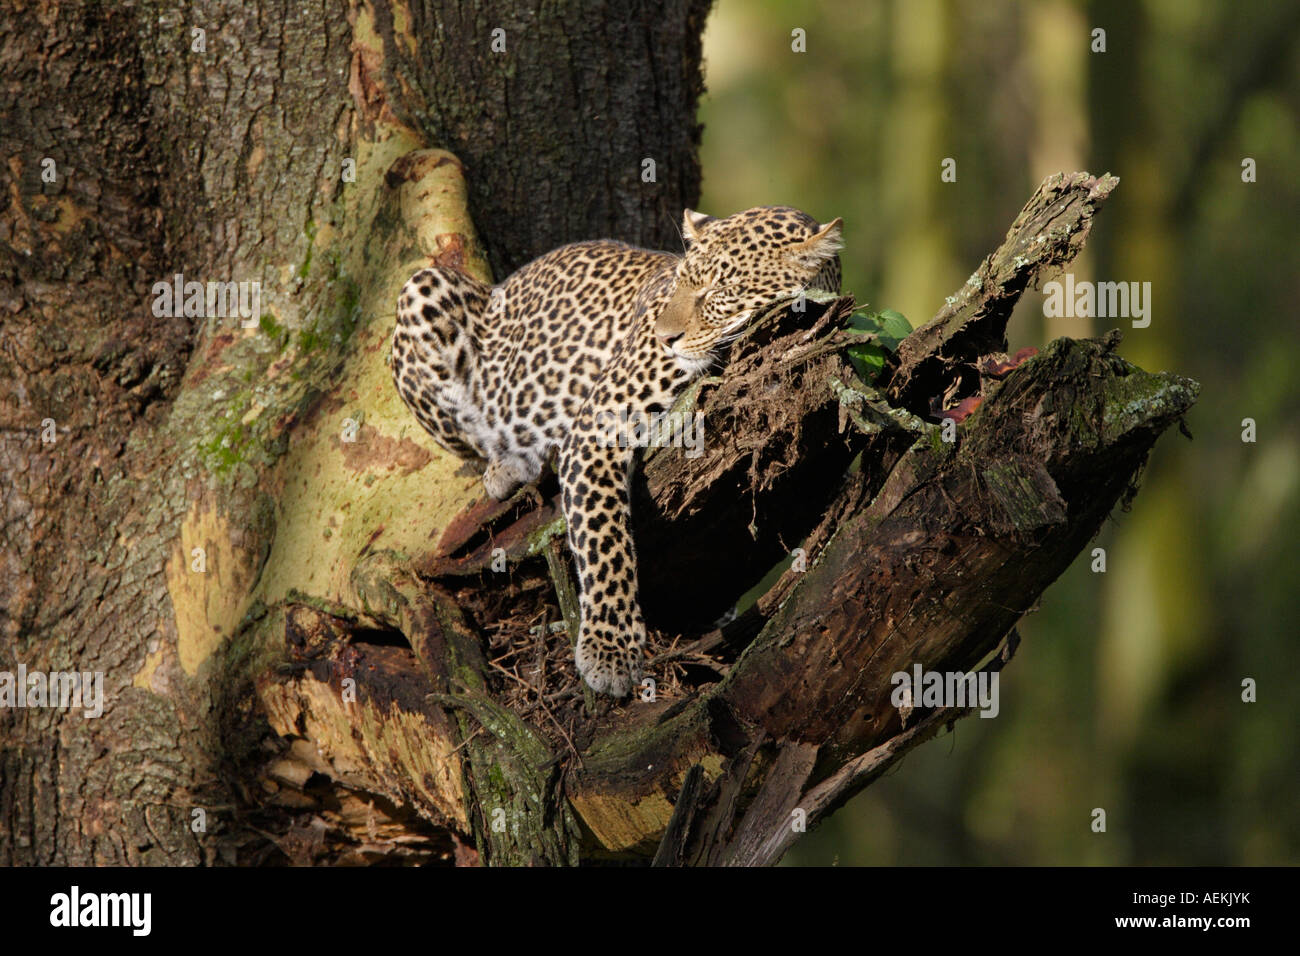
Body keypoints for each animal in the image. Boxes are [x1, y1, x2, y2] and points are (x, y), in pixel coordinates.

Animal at [392, 206, 843, 696]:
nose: (666, 337)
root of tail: (502, 285)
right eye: (680, 283)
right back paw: (509, 465)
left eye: (719, 290)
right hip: (423, 289)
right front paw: (609, 652)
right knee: (474, 444)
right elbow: (603, 540)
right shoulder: (597, 424)